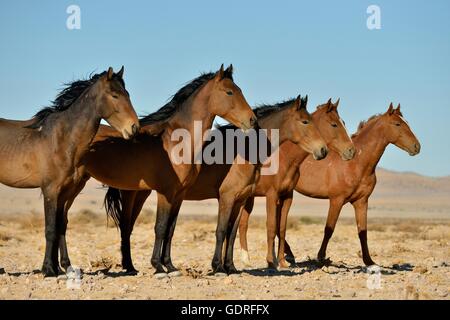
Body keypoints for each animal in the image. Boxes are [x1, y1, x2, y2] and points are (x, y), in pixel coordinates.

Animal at [0, 67, 140, 276]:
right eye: (115, 95)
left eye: (128, 94)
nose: (134, 128)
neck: (62, 140)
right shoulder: (50, 190)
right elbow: (50, 229)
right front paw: (48, 269)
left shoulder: (65, 192)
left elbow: (60, 226)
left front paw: (57, 267)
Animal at [60, 64, 258, 278]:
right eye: (229, 92)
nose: (252, 120)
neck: (178, 141)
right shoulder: (166, 193)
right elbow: (160, 227)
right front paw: (158, 267)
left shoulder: (179, 195)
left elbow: (170, 229)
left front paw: (170, 266)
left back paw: (126, 267)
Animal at [107, 94, 328, 276]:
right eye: (305, 121)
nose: (323, 150)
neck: (244, 149)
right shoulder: (227, 198)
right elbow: (221, 230)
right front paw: (218, 267)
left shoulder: (240, 199)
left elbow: (232, 232)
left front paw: (230, 267)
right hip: (134, 194)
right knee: (126, 226)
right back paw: (131, 266)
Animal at [237, 99, 356, 268]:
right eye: (334, 124)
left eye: (343, 122)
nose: (351, 150)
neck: (285, 157)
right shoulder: (271, 195)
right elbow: (271, 227)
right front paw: (271, 262)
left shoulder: (287, 196)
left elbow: (282, 228)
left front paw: (281, 261)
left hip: (249, 198)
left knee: (243, 224)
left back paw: (246, 259)